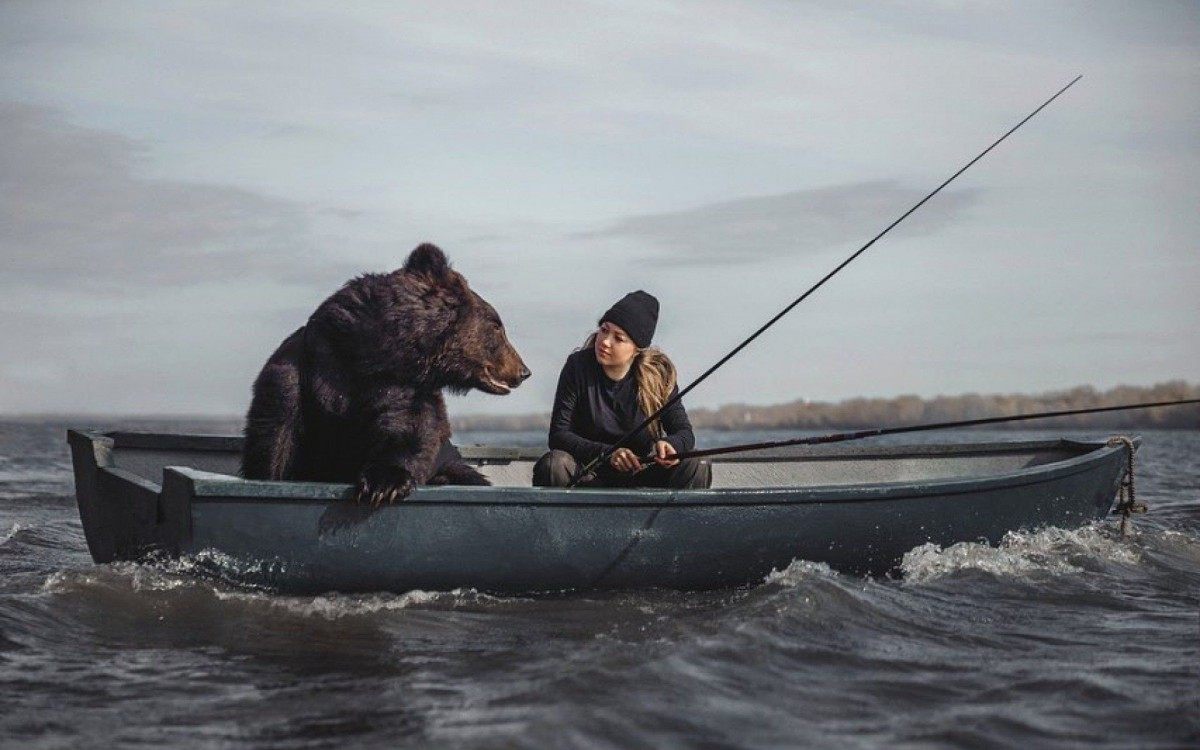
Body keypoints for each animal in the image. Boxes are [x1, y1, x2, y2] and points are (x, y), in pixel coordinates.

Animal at [240, 243, 530, 504]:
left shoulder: (402, 386)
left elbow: (407, 429)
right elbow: (275, 441)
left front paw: (385, 483)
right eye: (497, 325)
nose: (524, 370)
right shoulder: (304, 371)